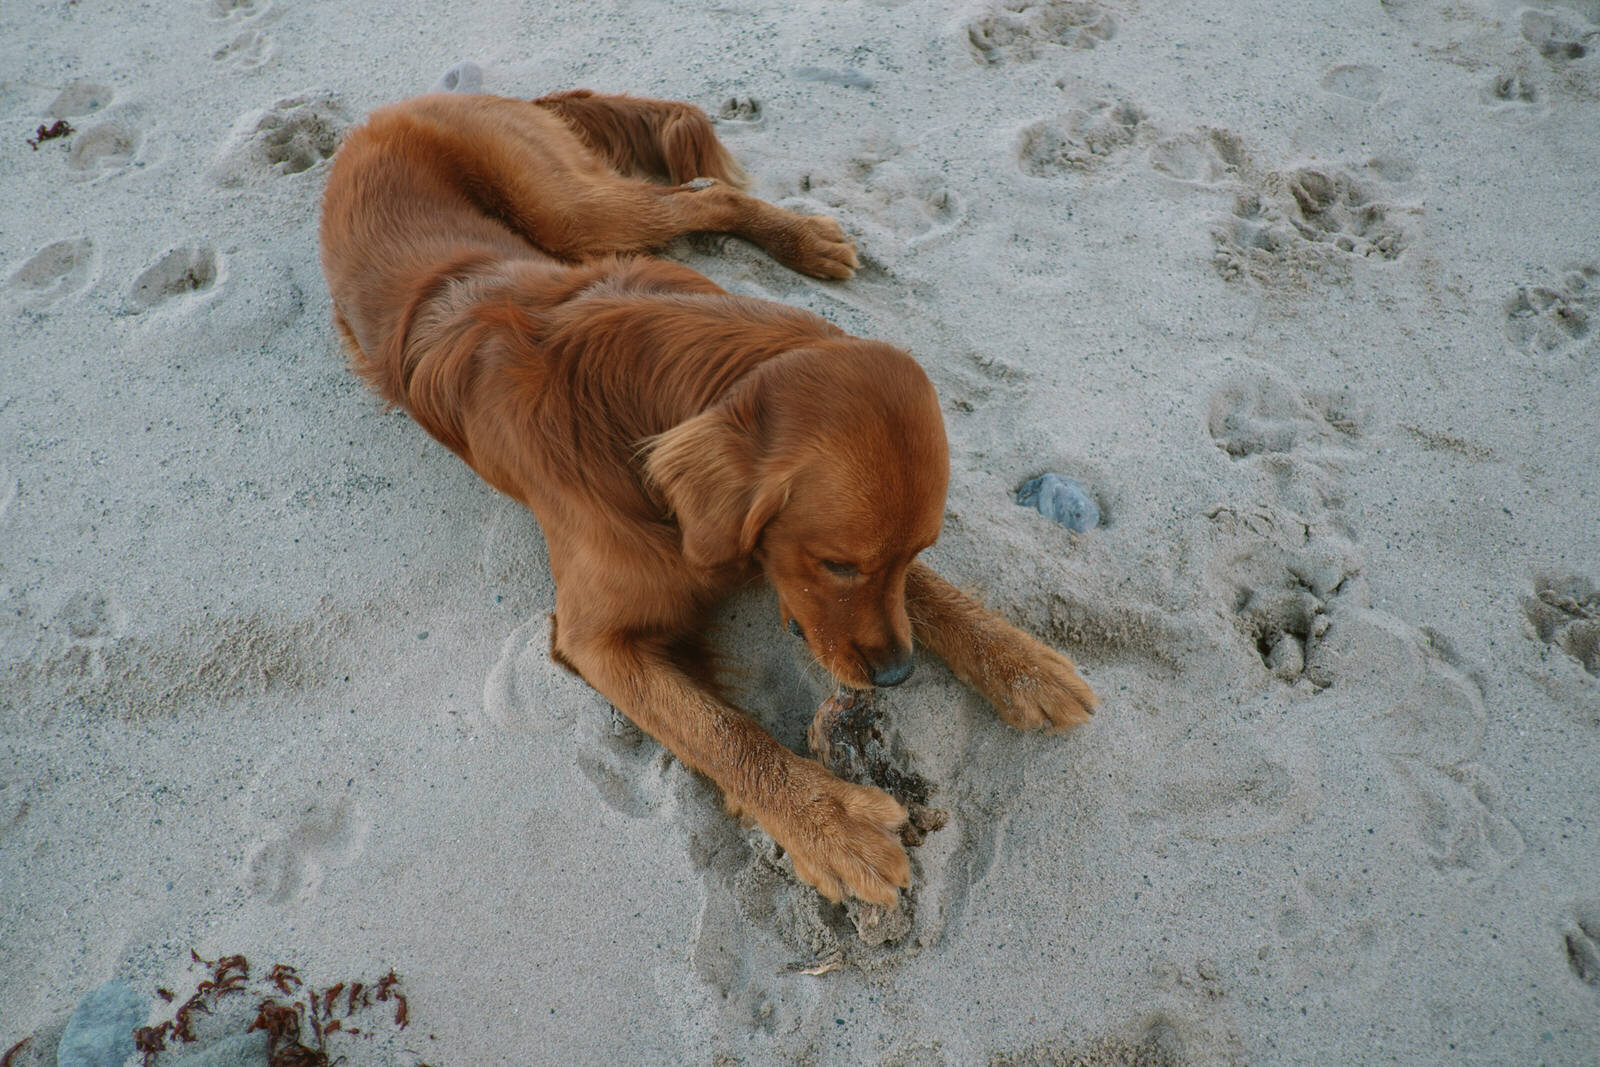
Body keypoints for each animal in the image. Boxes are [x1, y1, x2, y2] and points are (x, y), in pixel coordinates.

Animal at [318, 91, 1094, 908]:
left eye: (916, 552)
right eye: (838, 565)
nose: (896, 676)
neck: (642, 390)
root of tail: (404, 104)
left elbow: (933, 597)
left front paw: (1021, 662)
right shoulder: (597, 638)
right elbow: (722, 733)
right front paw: (832, 824)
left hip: (573, 217)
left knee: (704, 193)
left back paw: (806, 239)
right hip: (575, 213)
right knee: (689, 195)